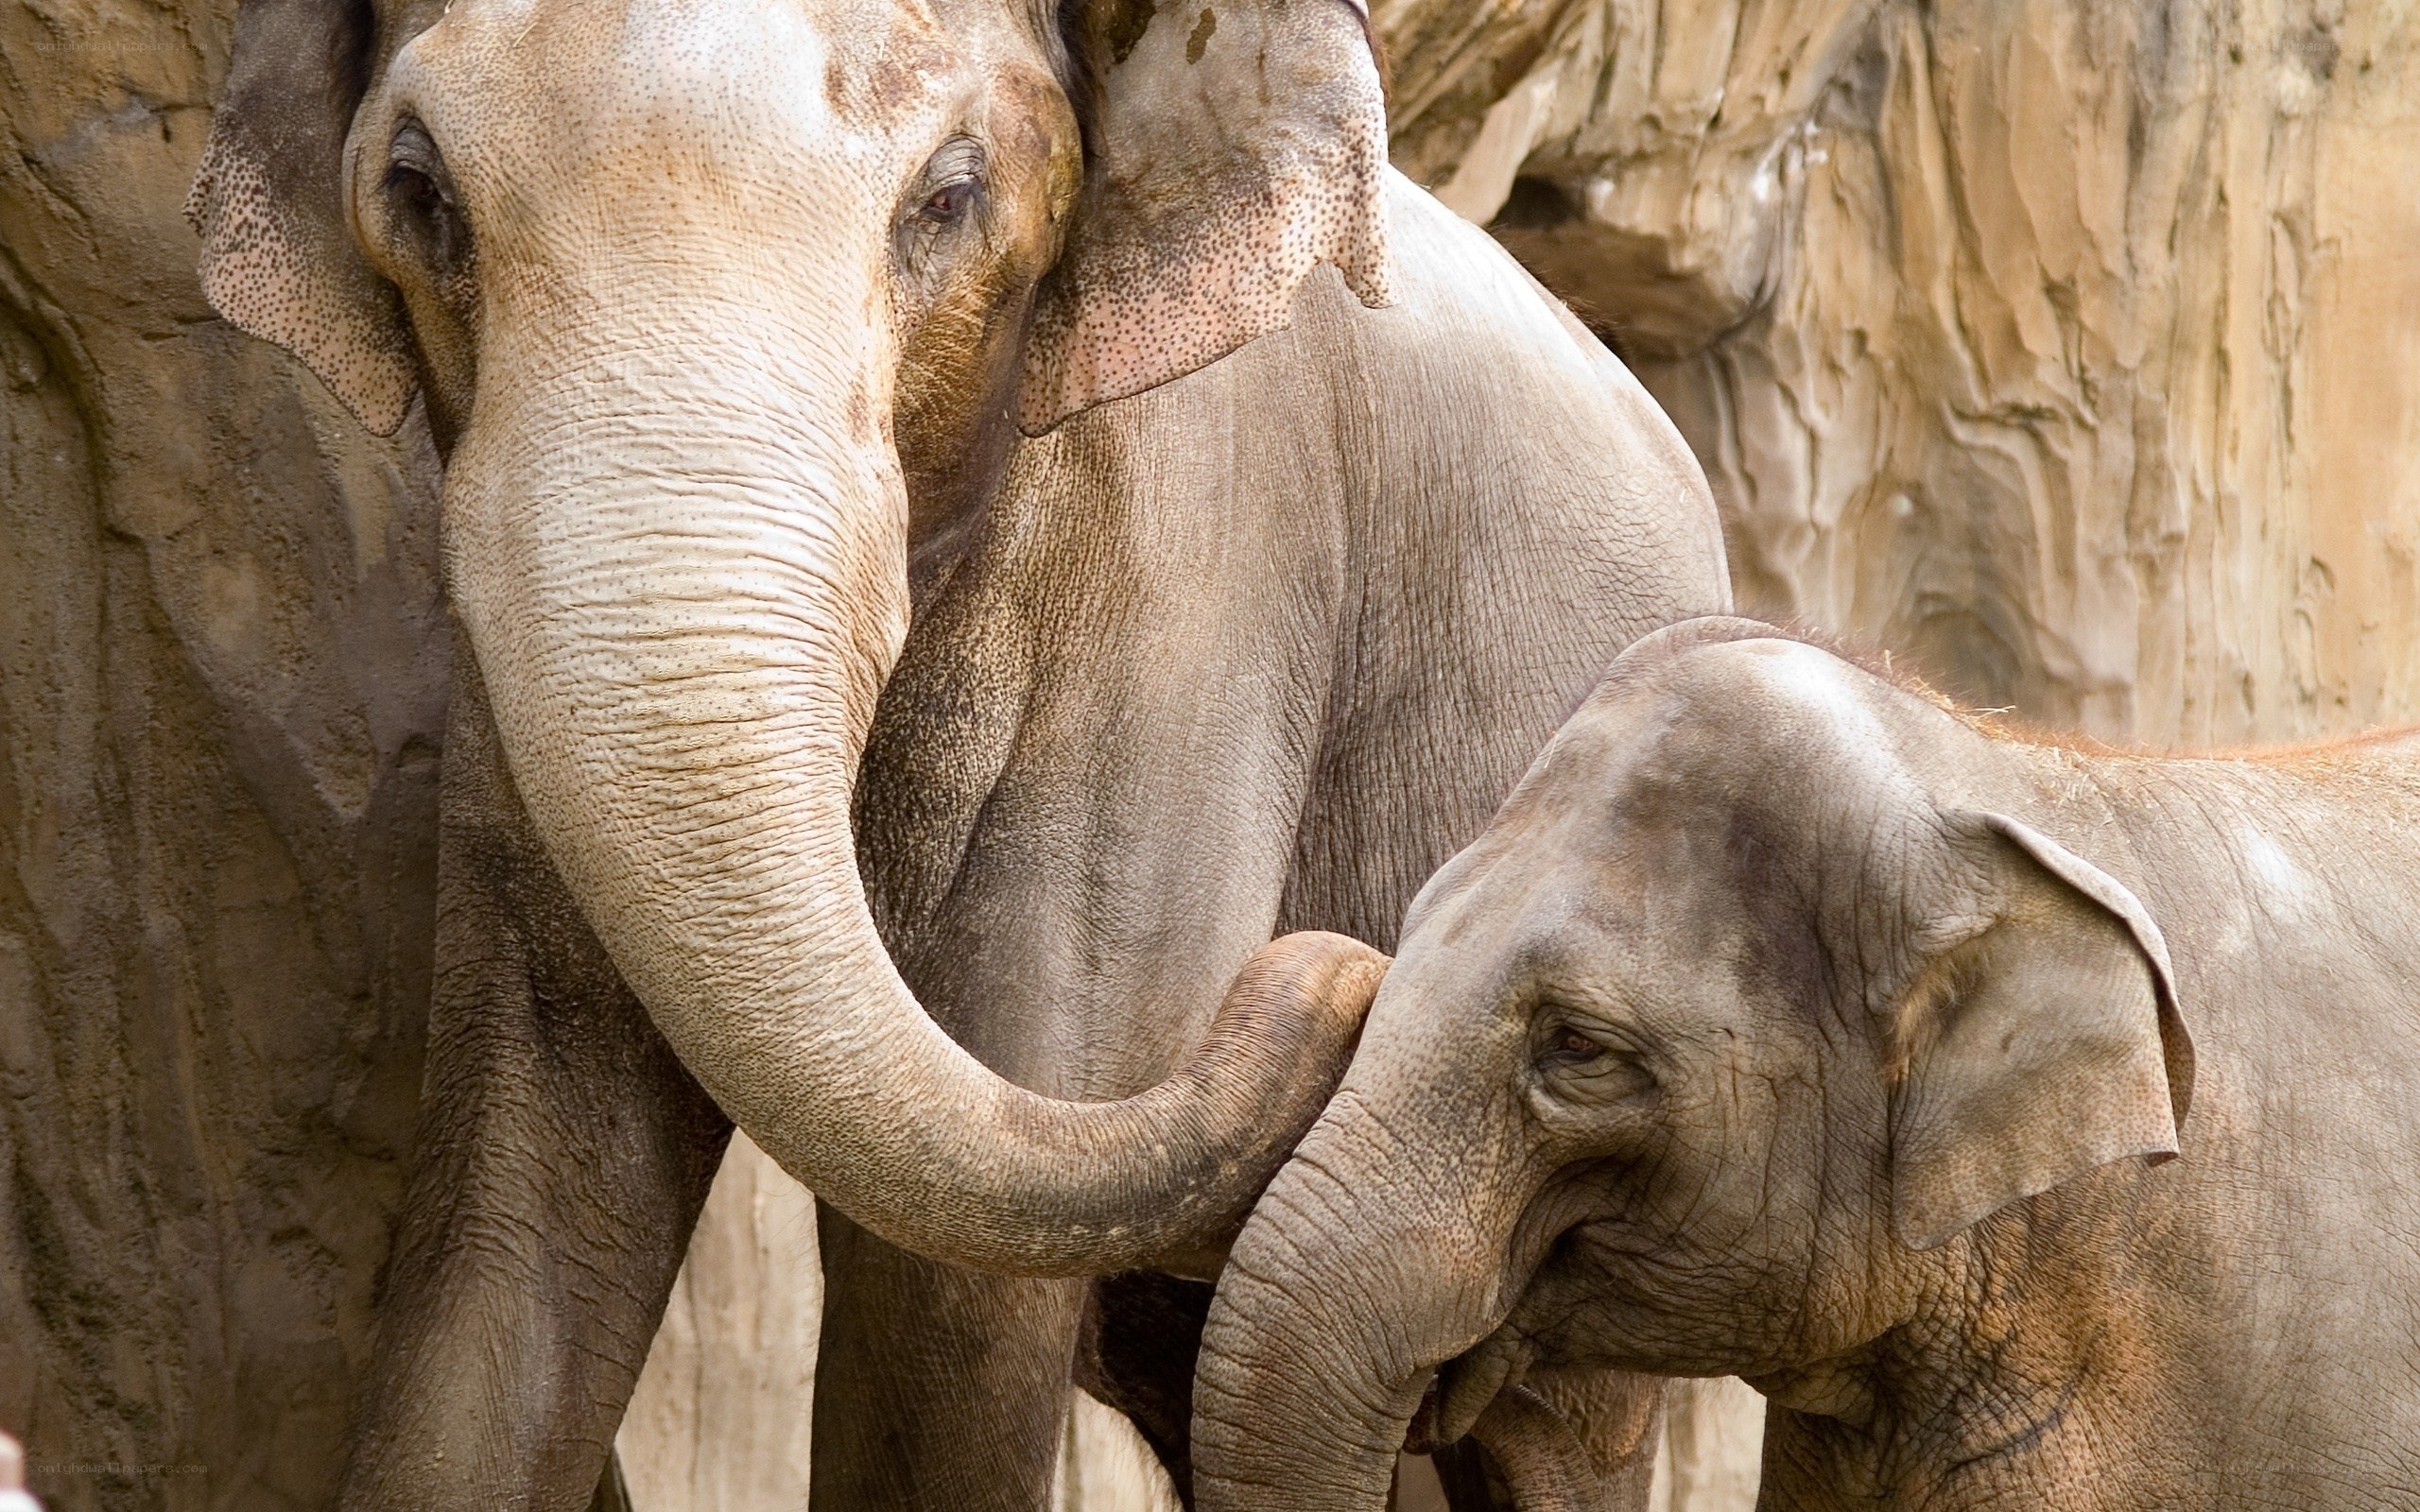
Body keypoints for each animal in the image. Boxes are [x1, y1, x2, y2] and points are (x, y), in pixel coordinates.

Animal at [184, 0, 1735, 1502]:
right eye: (417, 188)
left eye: (951, 193)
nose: (1352, 973)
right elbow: (523, 1206)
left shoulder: (1193, 572)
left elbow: (950, 1295)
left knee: (1558, 1439)